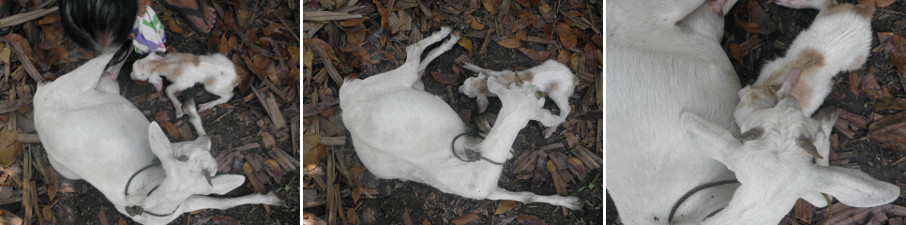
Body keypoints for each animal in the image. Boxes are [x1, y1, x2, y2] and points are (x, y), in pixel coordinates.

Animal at [33, 50, 278, 224]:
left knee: (108, 73)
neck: (150, 201)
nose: (207, 143)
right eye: (212, 168)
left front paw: (266, 198)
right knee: (102, 58)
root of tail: (39, 106)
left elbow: (221, 204)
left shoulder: (185, 198)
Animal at [338, 27, 580, 209]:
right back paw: (446, 34)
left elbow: (526, 195)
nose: (542, 94)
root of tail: (344, 102)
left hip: (406, 86)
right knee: (411, 55)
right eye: (536, 101)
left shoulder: (487, 188)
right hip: (384, 83)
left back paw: (449, 40)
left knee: (417, 70)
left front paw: (571, 202)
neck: (477, 168)